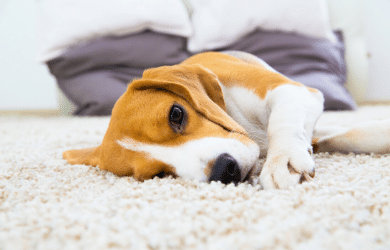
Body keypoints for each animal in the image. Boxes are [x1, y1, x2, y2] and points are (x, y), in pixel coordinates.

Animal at [62, 50, 390, 188]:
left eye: (176, 114)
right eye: (157, 175)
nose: (223, 170)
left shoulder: (294, 91)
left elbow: (285, 124)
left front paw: (282, 160)